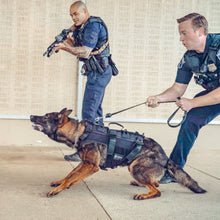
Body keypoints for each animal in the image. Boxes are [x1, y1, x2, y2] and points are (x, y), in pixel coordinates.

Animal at [30, 108, 206, 199]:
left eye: (45, 117)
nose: (31, 115)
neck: (80, 132)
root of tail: (165, 156)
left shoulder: (91, 166)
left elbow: (72, 177)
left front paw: (59, 189)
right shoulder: (84, 163)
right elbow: (70, 174)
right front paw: (60, 182)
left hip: (135, 167)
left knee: (157, 191)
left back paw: (143, 194)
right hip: (135, 168)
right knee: (154, 183)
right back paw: (141, 184)